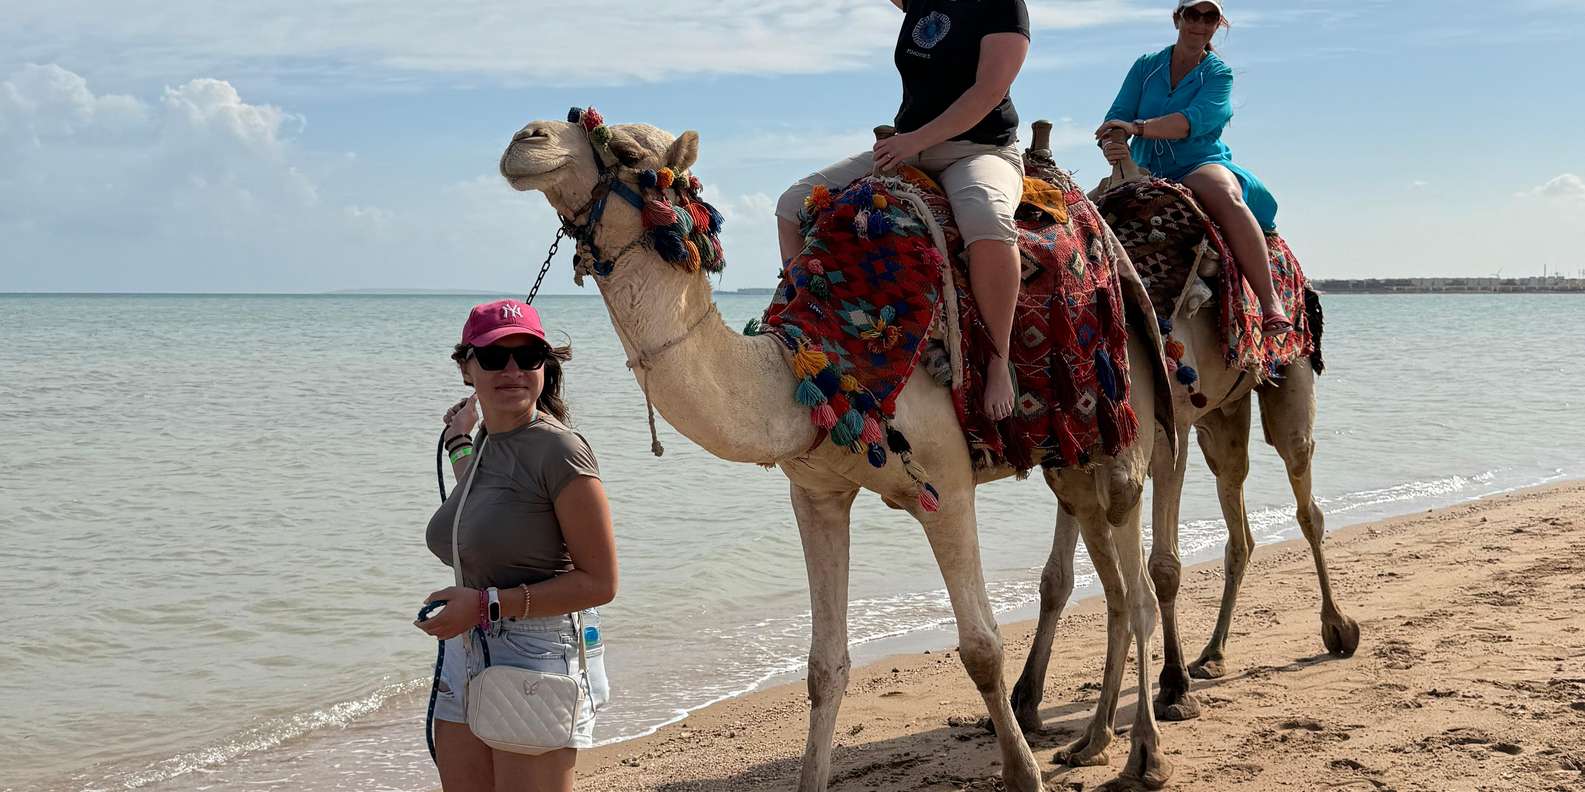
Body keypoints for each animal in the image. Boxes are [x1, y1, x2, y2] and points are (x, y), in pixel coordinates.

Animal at [499, 114, 1177, 790]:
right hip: (1072, 451)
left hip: (1126, 415)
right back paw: (1092, 741)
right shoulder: (817, 494)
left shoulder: (948, 488)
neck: (823, 363)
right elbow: (825, 666)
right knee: (1113, 579)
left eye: (627, 151)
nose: (525, 139)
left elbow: (982, 646)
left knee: (1138, 576)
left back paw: (1146, 751)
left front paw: (1022, 775)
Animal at [1011, 154, 1361, 730]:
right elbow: (1054, 578)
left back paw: (1337, 628)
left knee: (1306, 499)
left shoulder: (1163, 437)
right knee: (1239, 520)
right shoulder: (1080, 452)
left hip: (1289, 382)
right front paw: (1025, 698)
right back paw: (1213, 654)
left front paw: (1172, 687)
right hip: (1223, 416)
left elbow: (1165, 567)